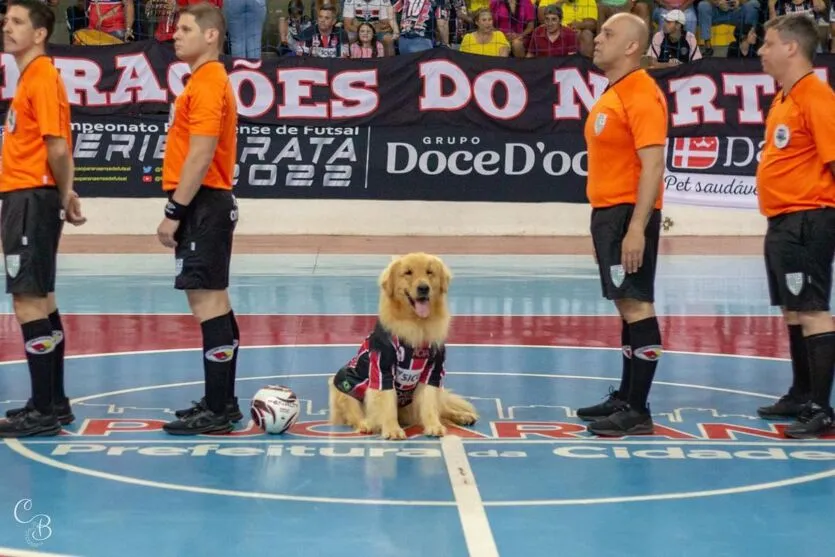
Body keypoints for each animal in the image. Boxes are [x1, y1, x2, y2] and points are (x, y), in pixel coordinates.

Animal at [330, 252, 480, 438]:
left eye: (430, 272)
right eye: (408, 272)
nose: (423, 288)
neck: (417, 324)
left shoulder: (433, 371)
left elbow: (430, 404)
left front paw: (433, 426)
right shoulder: (383, 367)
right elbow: (387, 402)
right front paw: (392, 430)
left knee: (441, 408)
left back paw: (462, 416)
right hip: (343, 385)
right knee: (355, 414)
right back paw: (366, 424)